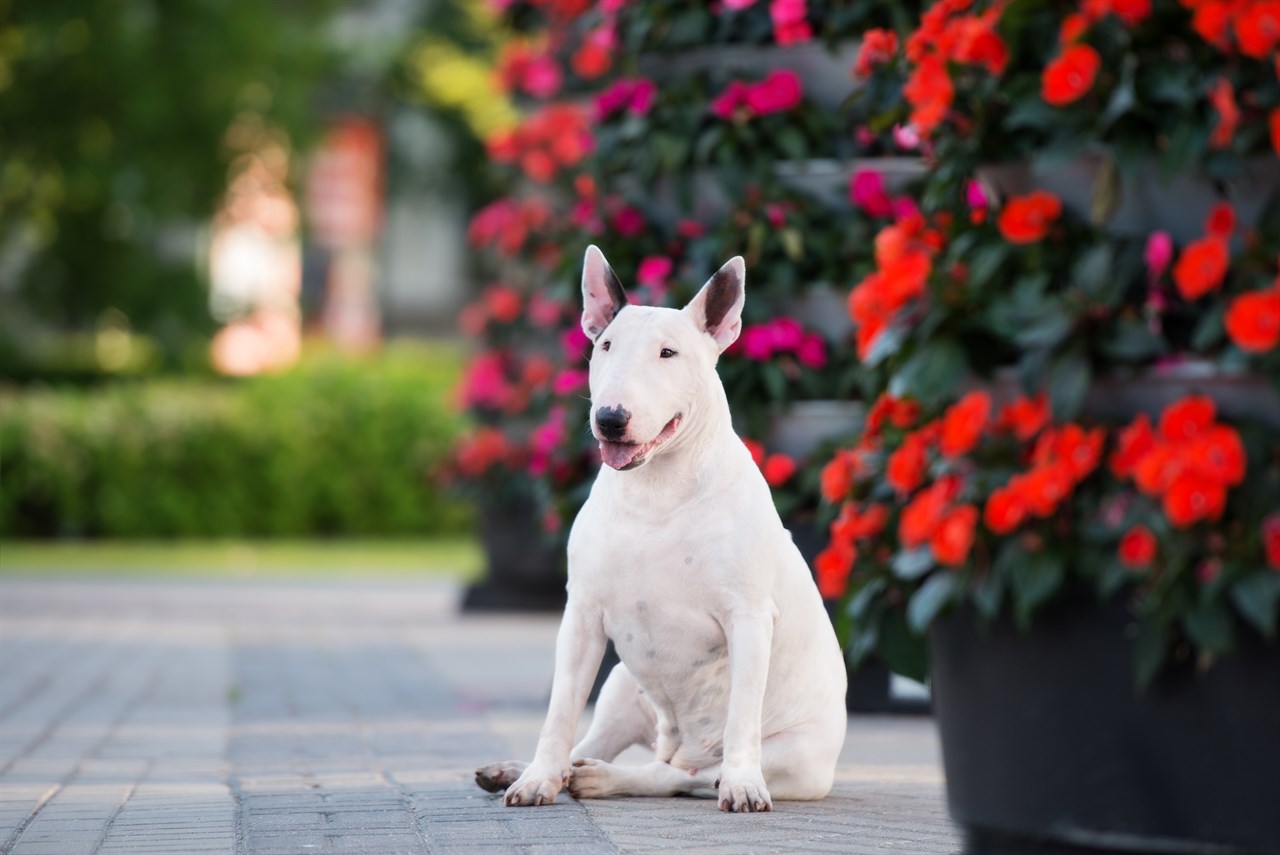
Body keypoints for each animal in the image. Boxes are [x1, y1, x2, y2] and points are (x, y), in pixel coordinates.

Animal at [476, 243, 844, 814]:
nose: (610, 418)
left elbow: (742, 718)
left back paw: (608, 778)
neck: (655, 490)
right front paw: (536, 779)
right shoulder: (581, 615)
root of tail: (676, 743)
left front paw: (743, 784)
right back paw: (531, 770)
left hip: (795, 758)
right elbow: (560, 711)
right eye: (605, 345)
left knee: (680, 776)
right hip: (622, 682)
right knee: (596, 744)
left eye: (669, 353)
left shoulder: (748, 618)